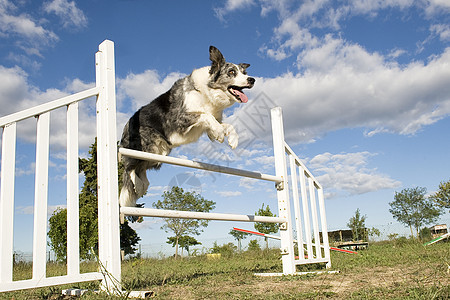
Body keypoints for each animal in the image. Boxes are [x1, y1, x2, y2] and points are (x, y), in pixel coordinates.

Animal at [118, 46, 255, 206]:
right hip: (144, 146)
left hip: (159, 151)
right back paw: (137, 184)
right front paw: (220, 134)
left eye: (244, 73)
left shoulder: (211, 123)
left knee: (141, 169)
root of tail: (126, 127)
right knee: (129, 168)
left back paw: (141, 186)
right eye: (232, 72)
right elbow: (205, 115)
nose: (252, 79)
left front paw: (233, 139)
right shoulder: (180, 118)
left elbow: (226, 125)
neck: (207, 92)